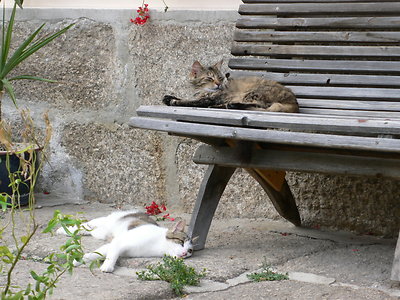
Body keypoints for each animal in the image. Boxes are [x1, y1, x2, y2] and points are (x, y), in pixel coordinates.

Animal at [56, 210, 194, 274]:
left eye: (189, 251)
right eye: (181, 242)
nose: (184, 254)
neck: (158, 246)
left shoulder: (115, 245)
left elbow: (98, 253)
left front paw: (79, 260)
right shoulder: (120, 241)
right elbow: (112, 255)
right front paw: (107, 266)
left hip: (101, 233)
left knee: (88, 230)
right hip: (106, 224)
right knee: (86, 225)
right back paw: (64, 229)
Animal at [161, 61, 298, 112]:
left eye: (220, 78)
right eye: (209, 78)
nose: (218, 84)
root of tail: (294, 102)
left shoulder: (209, 98)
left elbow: (189, 101)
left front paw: (174, 101)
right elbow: (186, 98)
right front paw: (168, 97)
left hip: (254, 92)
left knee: (260, 106)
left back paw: (232, 105)